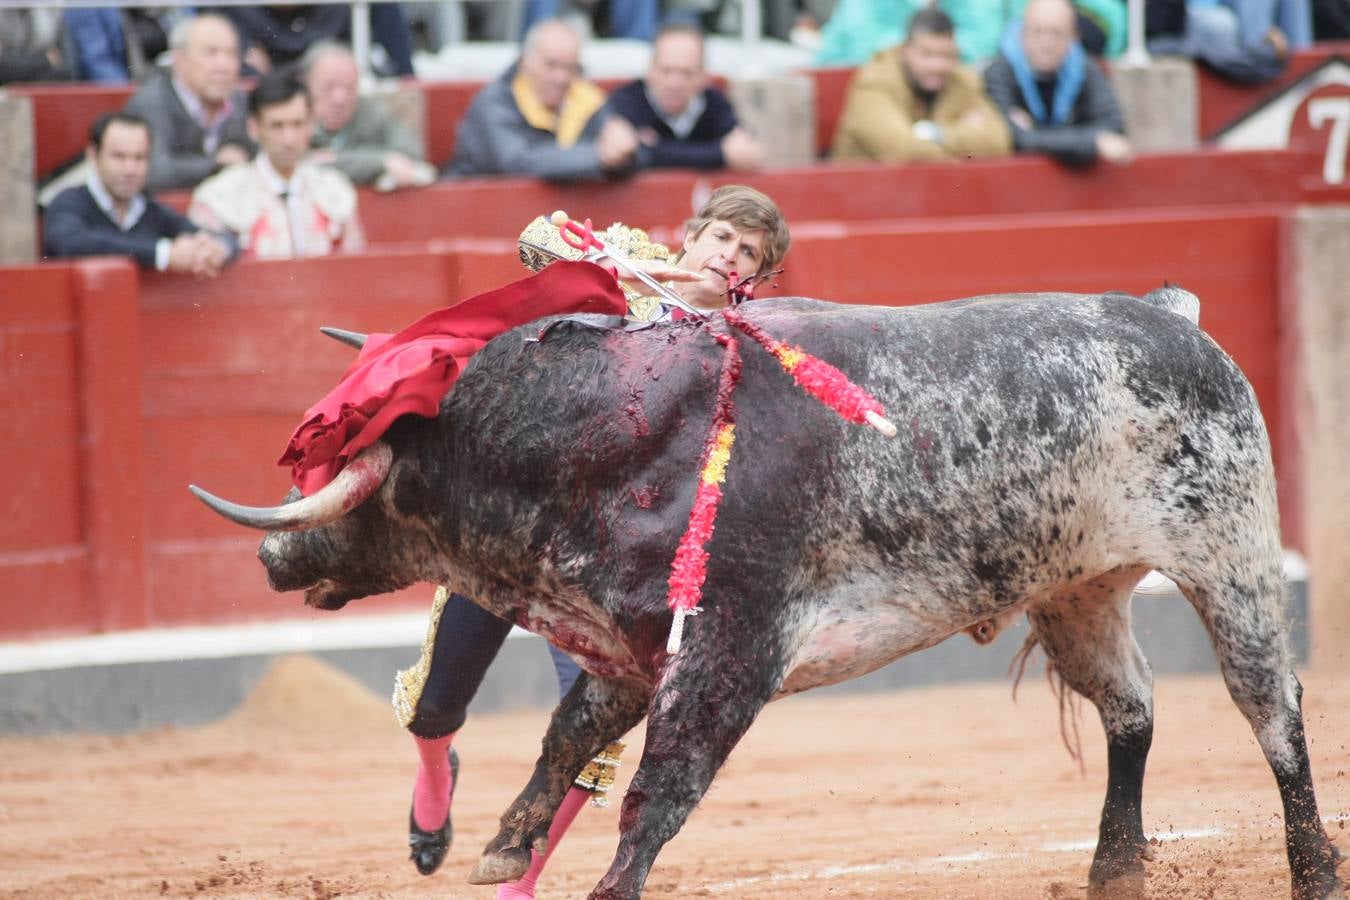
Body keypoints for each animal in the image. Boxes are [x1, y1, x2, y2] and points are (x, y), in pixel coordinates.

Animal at [195, 290, 1344, 900]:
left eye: (346, 460)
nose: (273, 560)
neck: (600, 438)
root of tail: (1168, 313)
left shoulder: (727, 652)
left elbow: (659, 789)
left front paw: (603, 884)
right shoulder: (630, 645)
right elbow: (570, 737)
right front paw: (503, 850)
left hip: (1231, 553)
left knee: (1272, 710)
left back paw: (1313, 867)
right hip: (1077, 587)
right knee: (1131, 711)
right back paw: (1113, 870)